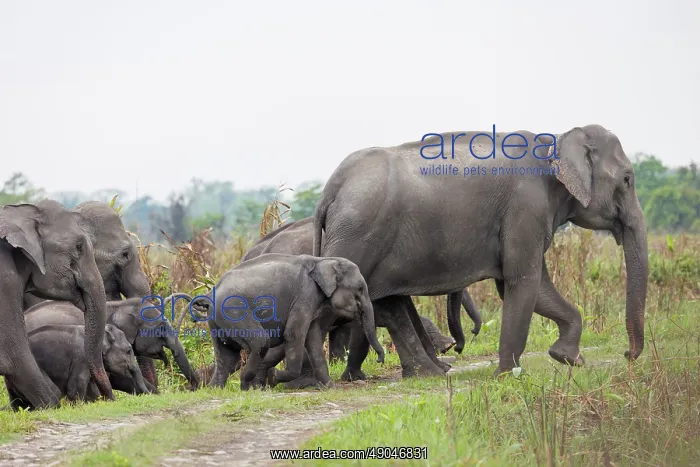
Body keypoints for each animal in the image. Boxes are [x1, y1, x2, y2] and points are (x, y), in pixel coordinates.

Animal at [6, 324, 147, 409]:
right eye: (128, 350)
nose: (114, 401)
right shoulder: (82, 358)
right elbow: (77, 384)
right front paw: (78, 407)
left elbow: (91, 388)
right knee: (55, 391)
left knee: (17, 402)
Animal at [189, 253, 384, 390]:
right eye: (360, 289)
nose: (380, 360)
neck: (323, 261)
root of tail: (210, 293)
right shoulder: (305, 295)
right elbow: (294, 334)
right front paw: (275, 377)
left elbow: (312, 338)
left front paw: (330, 387)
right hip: (234, 311)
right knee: (260, 342)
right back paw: (247, 386)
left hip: (218, 321)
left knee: (227, 356)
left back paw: (217, 390)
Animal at [312, 124, 648, 379]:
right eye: (627, 180)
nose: (627, 354)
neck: (556, 140)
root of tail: (330, 190)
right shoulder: (526, 208)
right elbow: (522, 282)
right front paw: (507, 376)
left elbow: (535, 287)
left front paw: (567, 358)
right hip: (358, 235)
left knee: (389, 304)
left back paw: (427, 374)